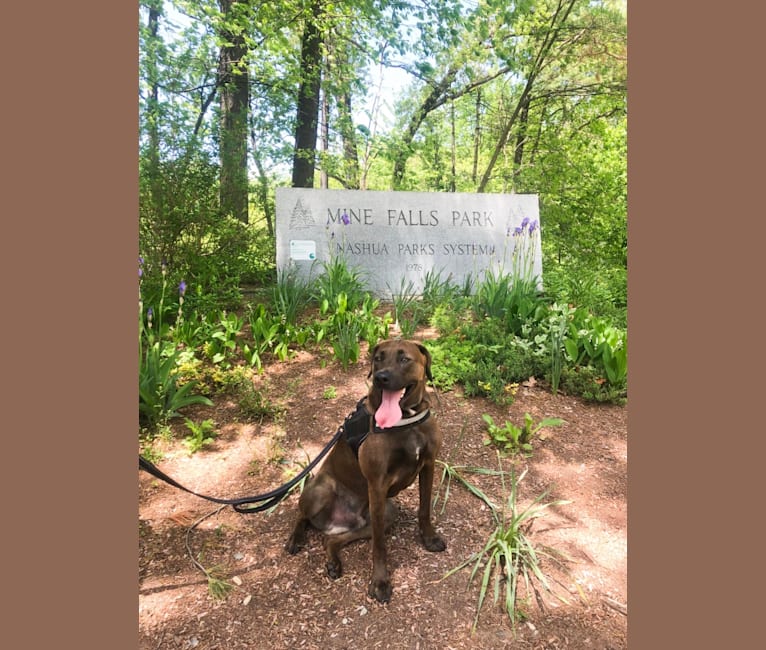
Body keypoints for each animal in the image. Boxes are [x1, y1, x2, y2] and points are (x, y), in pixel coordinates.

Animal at [284, 336, 448, 600]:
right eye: (378, 358)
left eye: (404, 358)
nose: (380, 377)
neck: (405, 421)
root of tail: (335, 522)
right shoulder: (377, 484)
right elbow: (379, 545)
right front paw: (380, 582)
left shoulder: (428, 465)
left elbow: (424, 509)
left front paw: (429, 538)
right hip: (321, 490)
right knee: (302, 514)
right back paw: (296, 538)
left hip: (388, 511)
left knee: (331, 540)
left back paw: (333, 562)